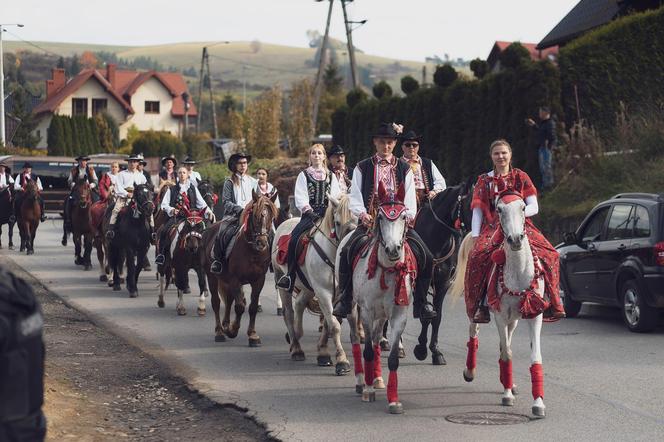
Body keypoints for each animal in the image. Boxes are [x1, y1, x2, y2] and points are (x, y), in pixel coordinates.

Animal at [201, 190, 276, 346]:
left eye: (271, 217)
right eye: (255, 215)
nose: (262, 243)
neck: (252, 251)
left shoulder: (258, 280)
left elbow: (252, 307)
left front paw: (253, 335)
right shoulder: (235, 279)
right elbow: (240, 306)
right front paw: (233, 330)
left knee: (229, 300)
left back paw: (225, 325)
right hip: (212, 276)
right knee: (216, 302)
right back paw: (219, 332)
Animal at [272, 193, 358, 372]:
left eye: (359, 219)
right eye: (337, 222)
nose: (348, 245)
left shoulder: (340, 295)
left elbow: (329, 322)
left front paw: (323, 353)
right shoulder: (323, 292)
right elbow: (334, 325)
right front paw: (341, 360)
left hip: (308, 287)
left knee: (299, 303)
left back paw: (296, 335)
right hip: (282, 280)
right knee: (289, 312)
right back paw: (296, 348)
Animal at [340, 180, 418, 414]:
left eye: (403, 217)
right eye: (381, 217)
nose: (393, 249)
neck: (387, 269)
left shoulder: (398, 315)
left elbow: (391, 358)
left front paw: (394, 400)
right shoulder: (366, 312)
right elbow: (366, 350)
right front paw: (368, 391)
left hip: (382, 315)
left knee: (375, 340)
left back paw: (377, 378)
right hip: (353, 309)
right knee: (357, 340)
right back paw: (361, 381)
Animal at [448, 193, 548, 418]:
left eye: (523, 207)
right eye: (499, 209)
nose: (516, 239)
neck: (519, 273)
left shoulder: (534, 314)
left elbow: (533, 355)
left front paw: (538, 402)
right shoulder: (500, 315)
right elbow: (506, 354)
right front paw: (507, 395)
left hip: (514, 320)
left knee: (506, 341)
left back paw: (509, 383)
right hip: (475, 307)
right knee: (474, 333)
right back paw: (471, 372)